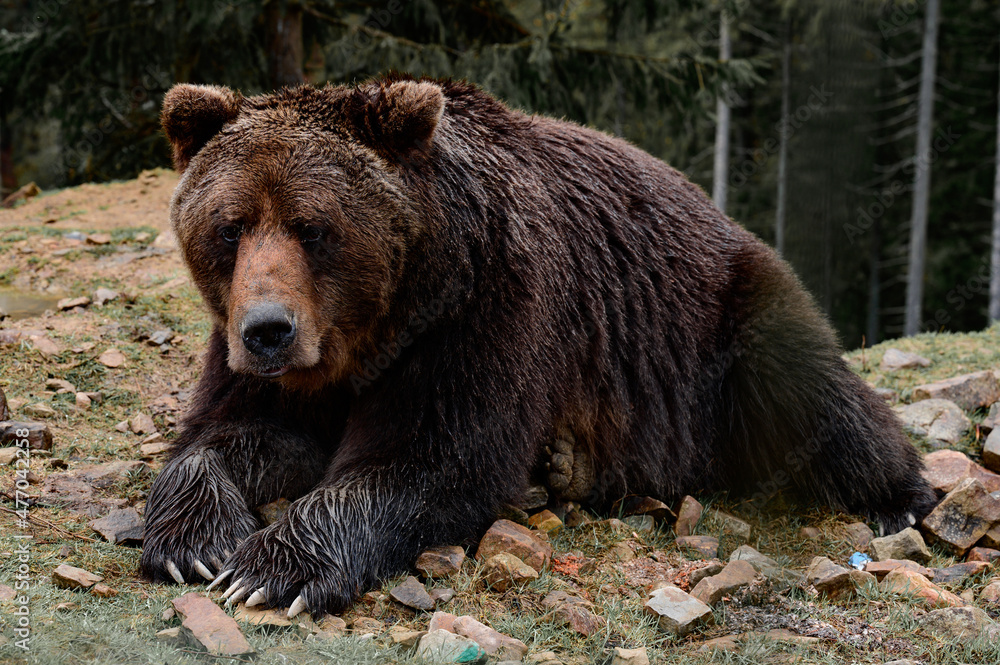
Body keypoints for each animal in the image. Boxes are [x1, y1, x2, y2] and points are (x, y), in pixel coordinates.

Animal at [140, 74, 935, 617]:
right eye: (231, 226)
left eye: (313, 227)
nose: (269, 329)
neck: (381, 329)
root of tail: (717, 210)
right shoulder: (274, 362)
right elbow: (227, 435)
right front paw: (195, 544)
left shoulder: (484, 313)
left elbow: (433, 459)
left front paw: (275, 567)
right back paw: (564, 468)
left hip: (728, 318)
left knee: (816, 399)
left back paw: (900, 498)